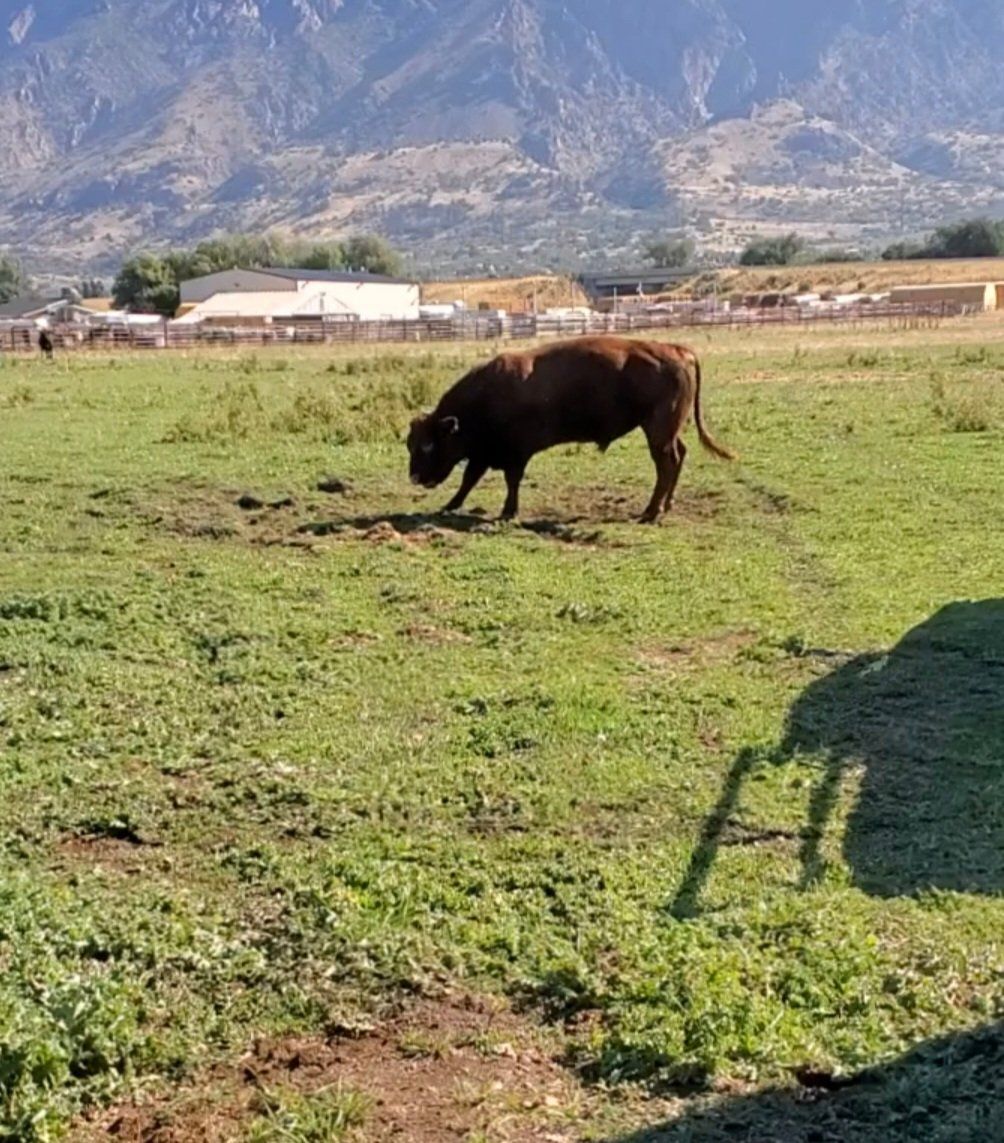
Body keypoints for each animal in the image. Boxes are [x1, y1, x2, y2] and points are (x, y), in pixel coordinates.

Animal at [406, 335, 735, 523]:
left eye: (427, 445)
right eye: (410, 444)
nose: (415, 477)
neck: (490, 392)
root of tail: (675, 350)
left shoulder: (515, 453)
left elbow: (511, 481)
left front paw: (508, 512)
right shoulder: (484, 452)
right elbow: (468, 479)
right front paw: (449, 506)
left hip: (657, 432)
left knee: (666, 464)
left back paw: (650, 512)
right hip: (668, 432)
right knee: (679, 456)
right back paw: (665, 506)